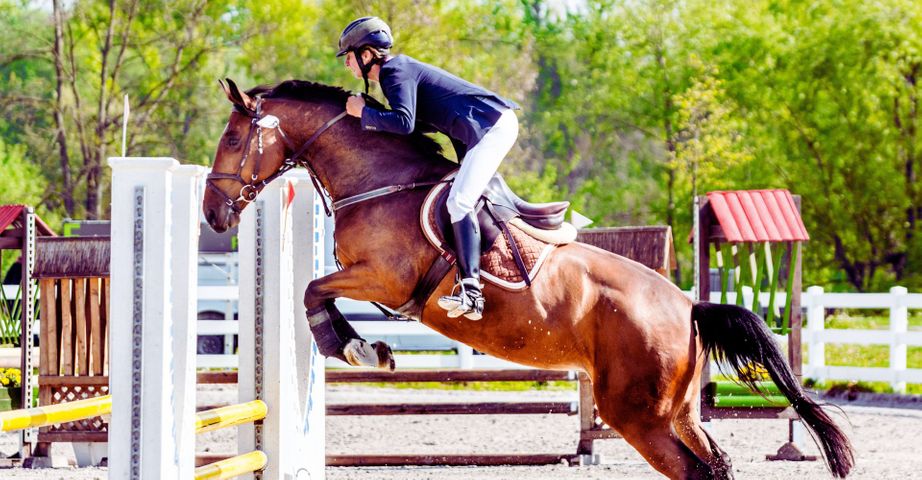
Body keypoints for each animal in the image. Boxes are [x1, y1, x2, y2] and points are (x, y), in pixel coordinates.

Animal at [205, 77, 852, 478]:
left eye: (233, 137)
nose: (212, 215)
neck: (378, 179)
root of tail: (689, 306)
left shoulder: (383, 281)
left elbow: (314, 291)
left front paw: (356, 348)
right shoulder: (370, 281)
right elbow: (319, 291)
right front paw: (366, 347)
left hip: (638, 415)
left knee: (695, 468)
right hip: (676, 412)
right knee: (713, 465)